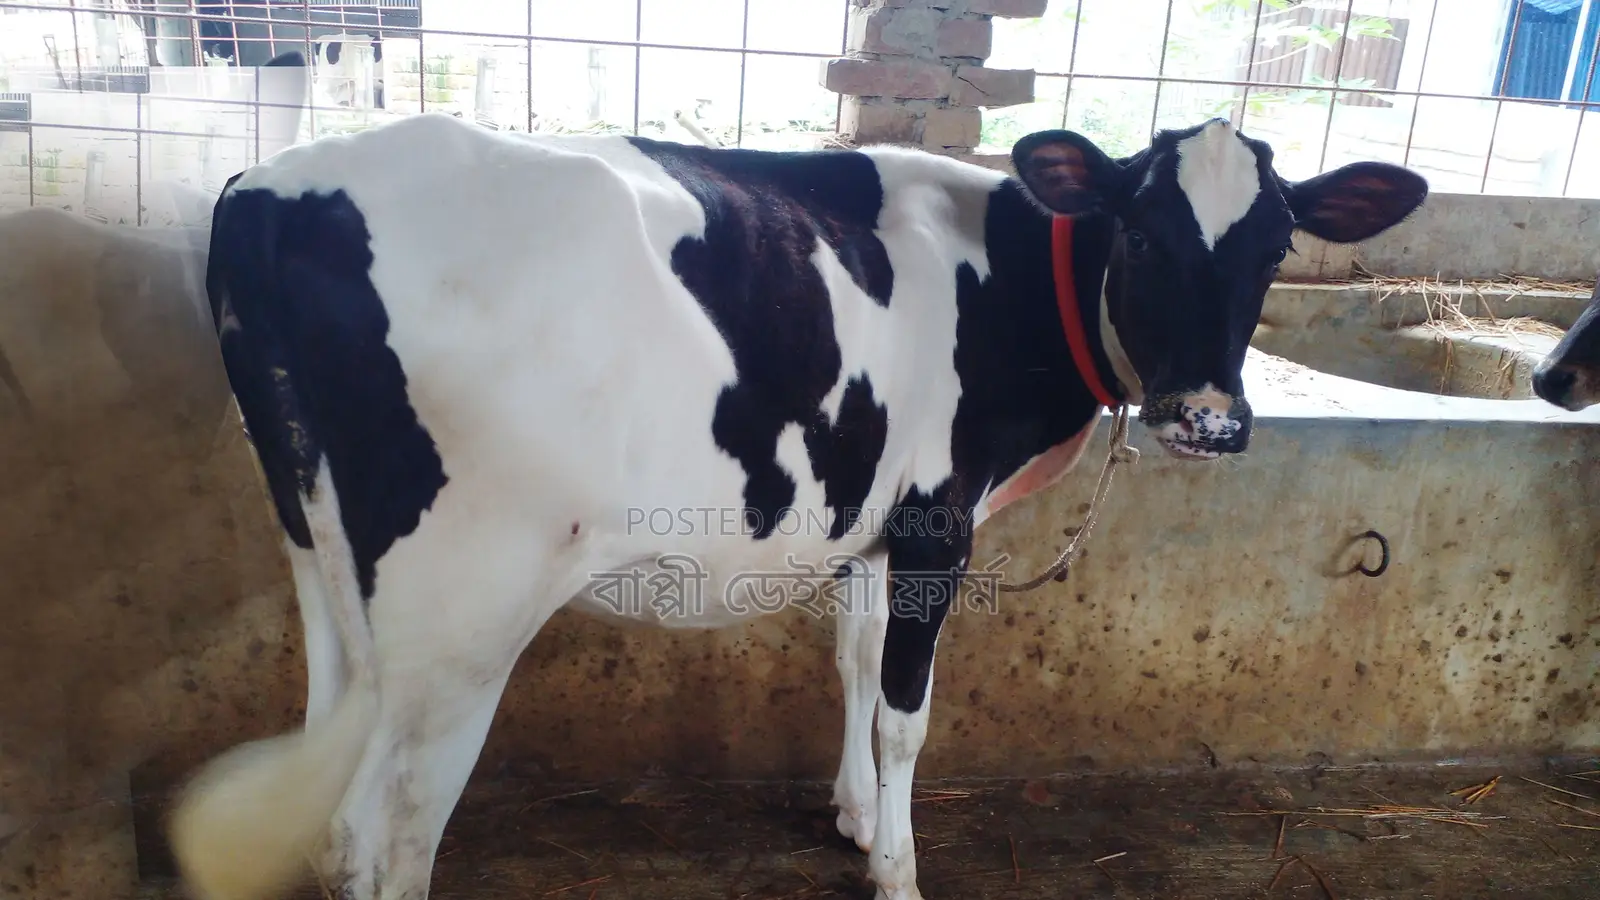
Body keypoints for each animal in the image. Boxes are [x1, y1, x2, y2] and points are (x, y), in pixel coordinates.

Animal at [166, 111, 1427, 900]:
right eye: (1143, 235)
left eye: (1275, 244)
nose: (1209, 418)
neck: (1012, 278)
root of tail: (274, 187)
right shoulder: (934, 519)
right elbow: (906, 707)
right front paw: (900, 868)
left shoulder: (868, 517)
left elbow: (854, 661)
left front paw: (854, 818)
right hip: (465, 605)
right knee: (393, 836)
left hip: (321, 552)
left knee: (336, 795)